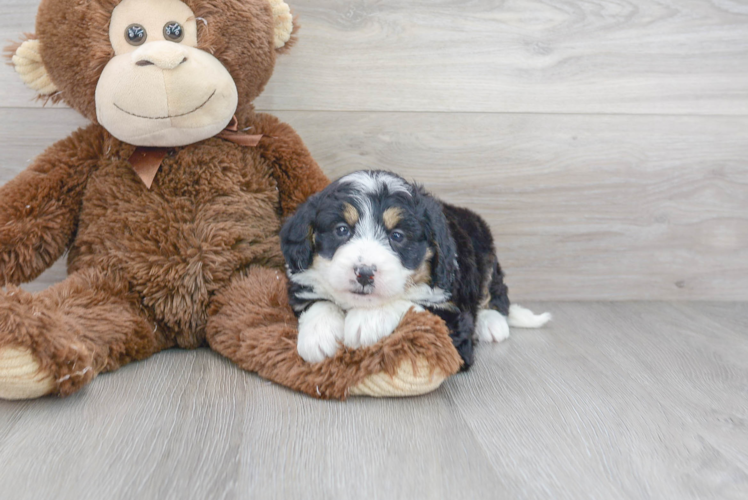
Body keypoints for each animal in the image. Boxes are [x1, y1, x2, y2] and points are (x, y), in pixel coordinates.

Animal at [280, 171, 548, 368]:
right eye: (342, 230)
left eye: (397, 236)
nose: (364, 273)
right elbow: (317, 301)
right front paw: (318, 336)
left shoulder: (454, 325)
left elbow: (413, 305)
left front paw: (366, 322)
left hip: (484, 245)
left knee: (495, 291)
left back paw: (492, 322)